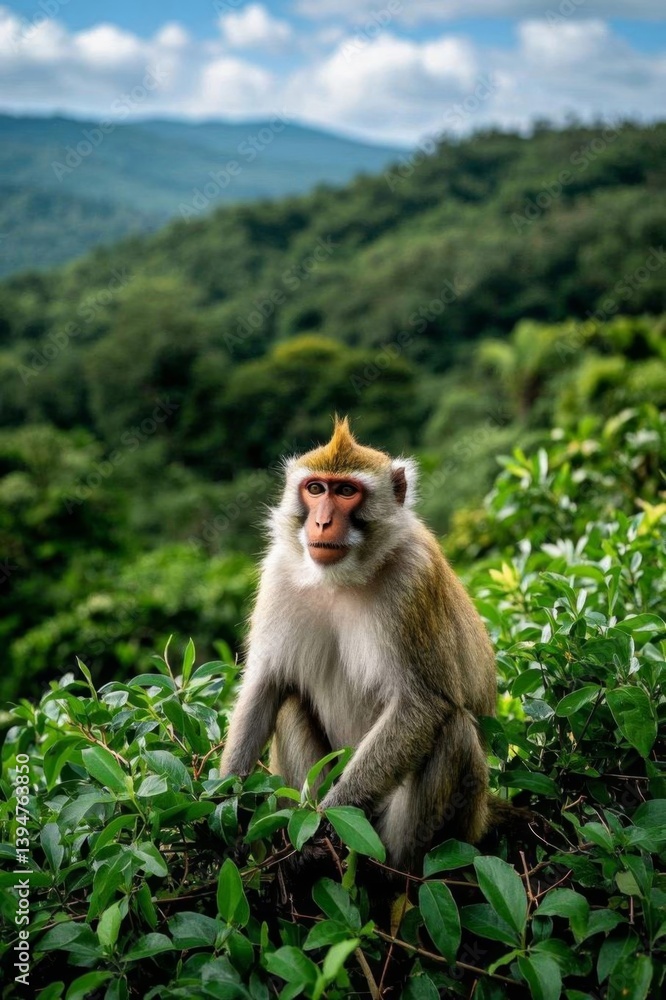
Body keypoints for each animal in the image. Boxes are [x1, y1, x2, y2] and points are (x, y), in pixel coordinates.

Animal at [220, 416, 500, 871]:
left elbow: (423, 703)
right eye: (316, 489)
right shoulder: (278, 572)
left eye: (347, 491)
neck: (344, 578)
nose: (320, 523)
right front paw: (223, 808)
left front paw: (329, 816)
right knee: (291, 702)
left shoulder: (413, 577)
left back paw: (396, 868)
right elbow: (266, 685)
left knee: (452, 729)